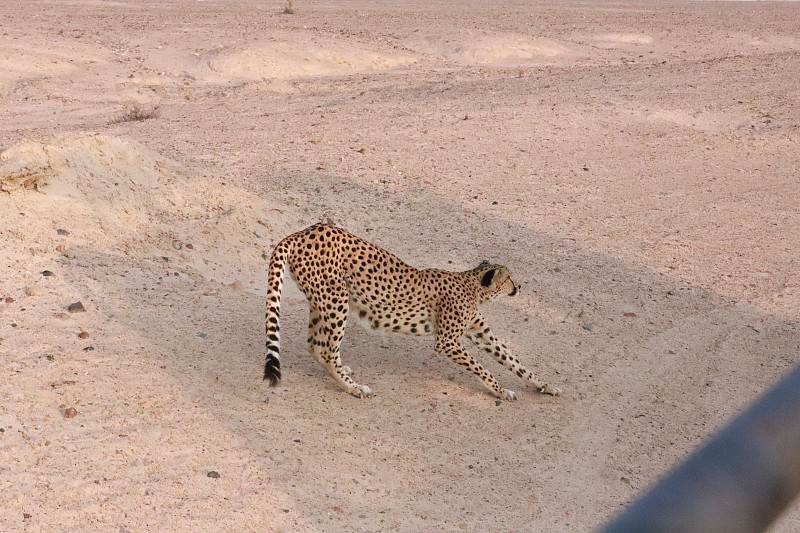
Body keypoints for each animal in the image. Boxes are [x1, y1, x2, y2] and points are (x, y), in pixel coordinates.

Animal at [264, 221, 564, 400]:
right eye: (509, 278)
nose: (520, 286)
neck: (472, 287)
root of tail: (301, 232)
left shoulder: (480, 332)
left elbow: (513, 360)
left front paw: (543, 385)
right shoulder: (447, 341)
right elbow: (482, 367)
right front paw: (500, 390)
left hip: (324, 301)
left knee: (315, 345)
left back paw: (344, 373)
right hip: (336, 301)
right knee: (326, 349)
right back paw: (353, 387)